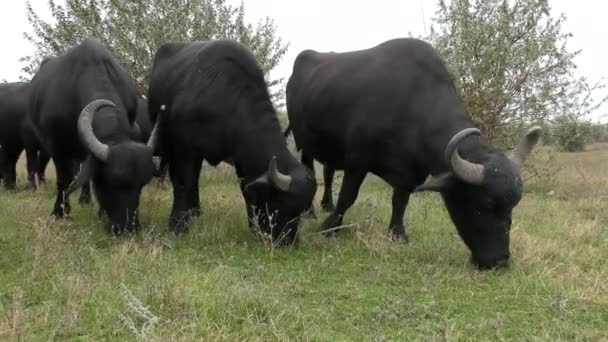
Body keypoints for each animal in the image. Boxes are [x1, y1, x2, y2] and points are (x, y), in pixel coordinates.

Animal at [28, 39, 159, 232]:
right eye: (112, 182)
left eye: (141, 185)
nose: (128, 227)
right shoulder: (57, 148)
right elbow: (64, 181)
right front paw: (59, 212)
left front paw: (101, 213)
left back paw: (85, 200)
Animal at [149, 39, 316, 243]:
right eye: (282, 204)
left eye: (301, 211)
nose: (288, 241)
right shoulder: (183, 149)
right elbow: (184, 182)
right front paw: (178, 226)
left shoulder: (242, 159)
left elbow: (245, 189)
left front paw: (253, 227)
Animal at [284, 38, 540, 270]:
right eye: (484, 204)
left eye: (512, 206)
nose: (500, 261)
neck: (412, 104)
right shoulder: (357, 162)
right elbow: (349, 195)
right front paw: (330, 226)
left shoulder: (411, 172)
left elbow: (400, 201)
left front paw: (397, 233)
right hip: (302, 140)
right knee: (309, 167)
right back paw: (311, 211)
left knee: (327, 173)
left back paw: (327, 204)